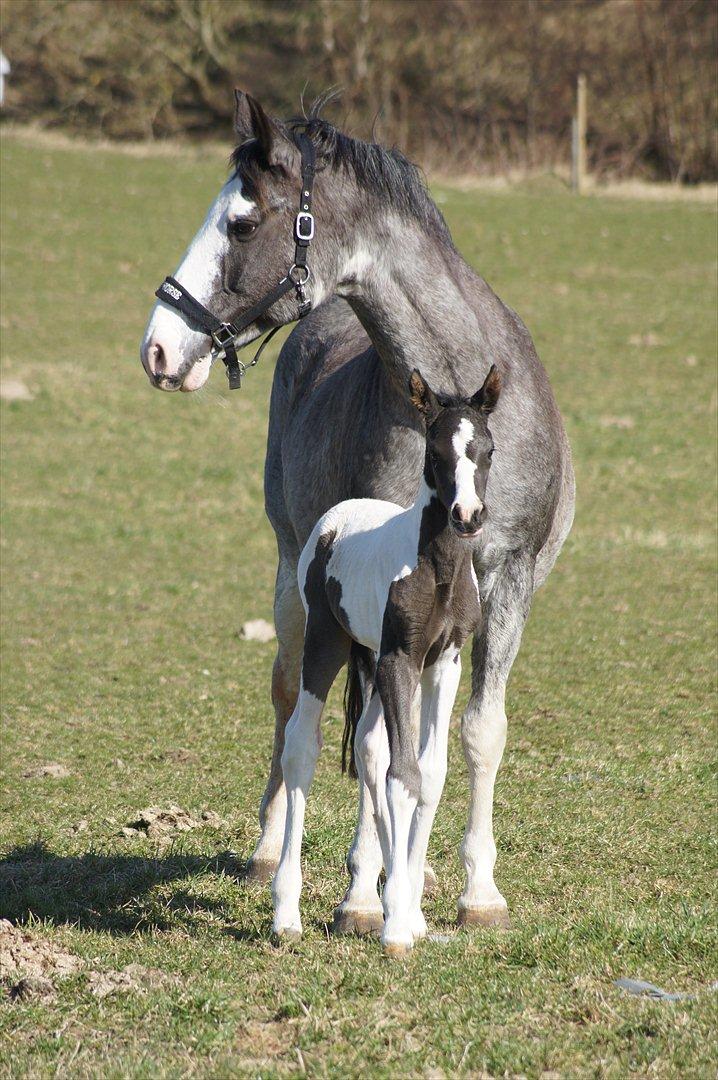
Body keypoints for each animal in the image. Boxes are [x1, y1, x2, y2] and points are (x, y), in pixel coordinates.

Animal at [272, 365, 500, 954]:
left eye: (487, 449)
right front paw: (396, 924)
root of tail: (336, 518)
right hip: (326, 643)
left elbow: (430, 772)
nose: (467, 517)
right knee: (302, 747)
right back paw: (287, 912)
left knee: (370, 747)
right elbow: (405, 775)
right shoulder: (401, 658)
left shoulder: (444, 662)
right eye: (436, 451)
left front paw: (410, 911)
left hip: (370, 660)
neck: (435, 570)